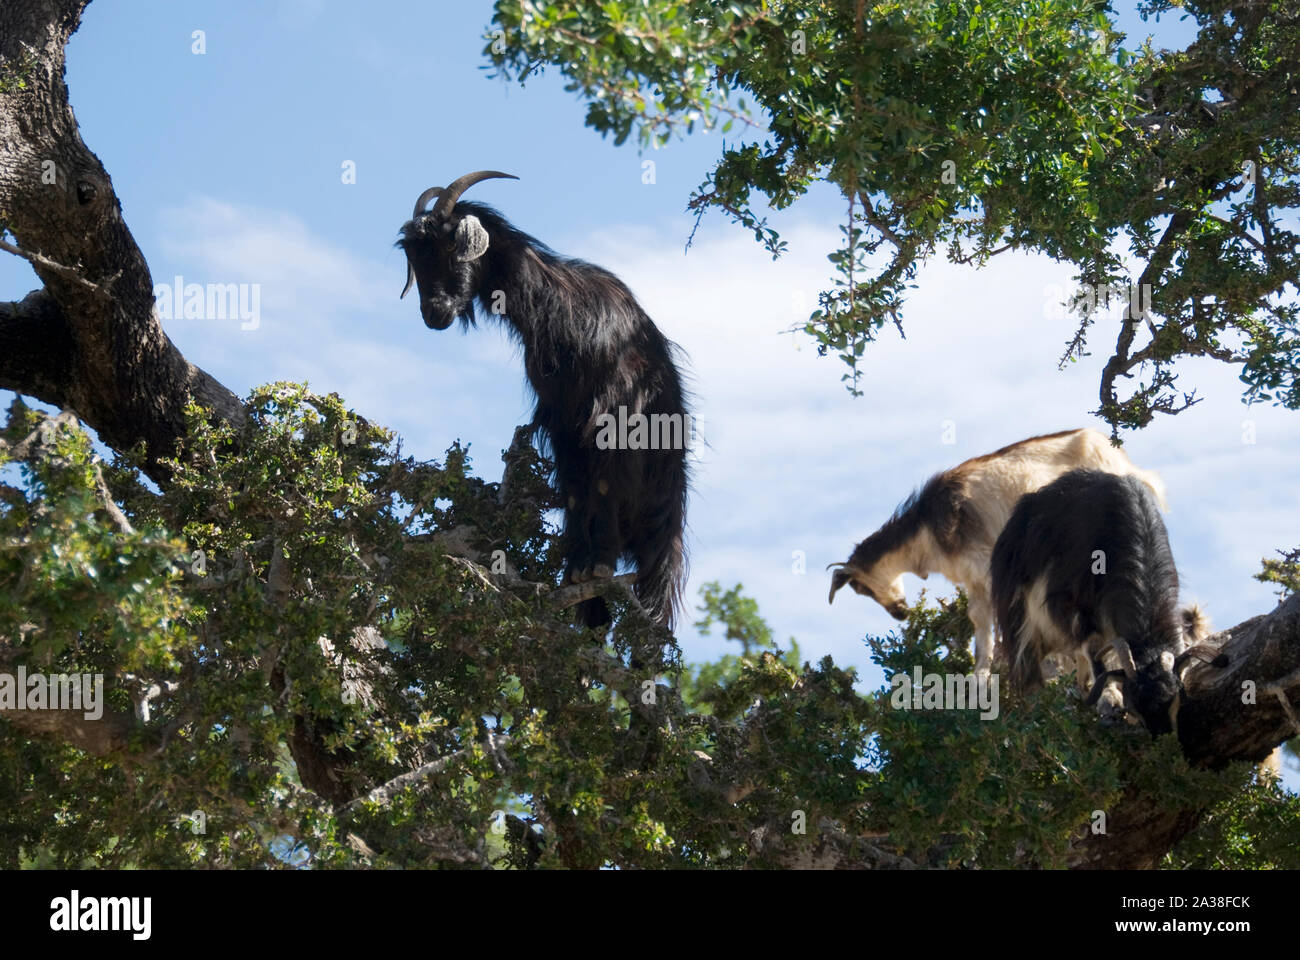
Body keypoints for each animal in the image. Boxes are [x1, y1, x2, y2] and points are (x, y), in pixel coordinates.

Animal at [397, 170, 691, 629]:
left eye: (448, 246)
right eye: (412, 253)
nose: (434, 313)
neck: (562, 314)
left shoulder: (609, 415)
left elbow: (604, 482)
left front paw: (599, 563)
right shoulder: (560, 422)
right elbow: (573, 489)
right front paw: (577, 568)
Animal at [826, 426, 1175, 671]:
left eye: (861, 588)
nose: (900, 613)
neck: (925, 532)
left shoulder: (987, 568)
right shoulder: (973, 582)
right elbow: (981, 629)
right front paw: (980, 680)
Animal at [987, 468, 1222, 733]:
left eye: (1176, 698)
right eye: (1133, 704)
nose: (1162, 738)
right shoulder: (1073, 606)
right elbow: (1093, 648)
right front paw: (1109, 698)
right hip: (1019, 618)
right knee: (1028, 668)